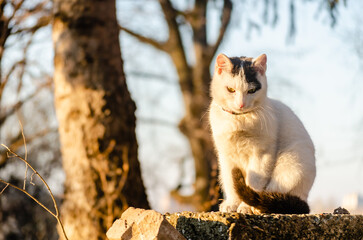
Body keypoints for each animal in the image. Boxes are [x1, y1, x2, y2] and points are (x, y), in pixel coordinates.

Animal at [209, 53, 318, 214]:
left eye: (251, 91)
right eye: (231, 89)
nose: (241, 104)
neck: (239, 119)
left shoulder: (261, 155)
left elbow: (254, 182)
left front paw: (246, 207)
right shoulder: (226, 156)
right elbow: (230, 182)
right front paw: (232, 204)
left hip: (291, 166)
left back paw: (259, 207)